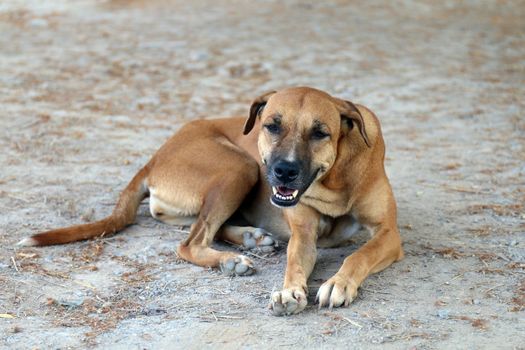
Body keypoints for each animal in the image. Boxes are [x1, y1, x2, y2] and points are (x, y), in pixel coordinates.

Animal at [16, 87, 402, 314]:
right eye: (272, 125)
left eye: (320, 132)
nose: (284, 171)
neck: (334, 179)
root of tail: (154, 157)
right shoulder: (303, 234)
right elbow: (294, 262)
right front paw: (289, 291)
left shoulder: (388, 234)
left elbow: (358, 254)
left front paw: (337, 282)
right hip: (240, 167)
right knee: (190, 242)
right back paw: (232, 259)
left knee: (204, 230)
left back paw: (250, 238)